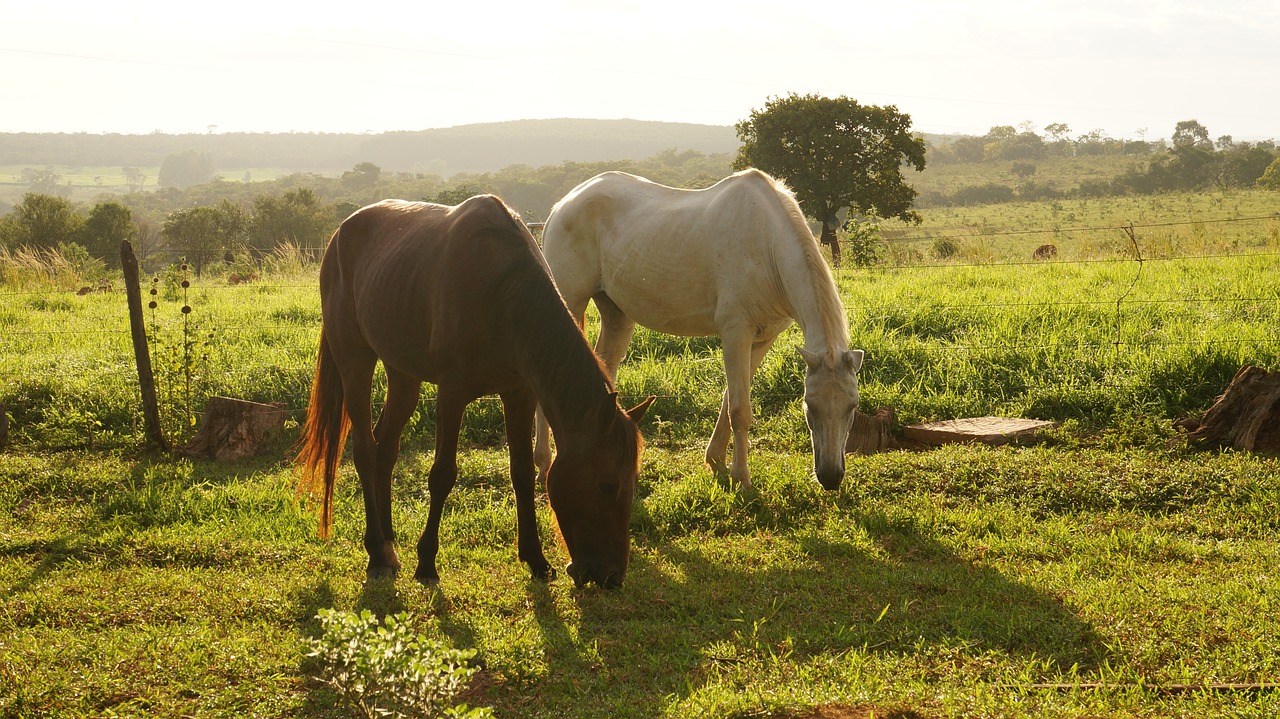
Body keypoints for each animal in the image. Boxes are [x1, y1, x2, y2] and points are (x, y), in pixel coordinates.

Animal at [295, 195, 655, 588]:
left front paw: (535, 558)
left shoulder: (519, 394)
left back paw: (389, 545)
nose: (612, 576)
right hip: (354, 359)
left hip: (403, 372)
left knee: (385, 449)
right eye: (606, 485)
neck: (504, 293)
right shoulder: (452, 394)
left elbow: (522, 473)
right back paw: (376, 553)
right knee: (364, 451)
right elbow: (442, 475)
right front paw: (427, 562)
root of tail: (340, 233)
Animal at [529, 168, 860, 486]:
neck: (766, 245)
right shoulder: (736, 333)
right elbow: (740, 410)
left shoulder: (762, 339)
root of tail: (562, 205)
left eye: (852, 407)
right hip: (570, 301)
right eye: (809, 405)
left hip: (617, 315)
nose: (831, 477)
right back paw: (544, 464)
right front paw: (742, 479)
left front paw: (716, 460)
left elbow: (730, 399)